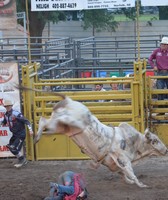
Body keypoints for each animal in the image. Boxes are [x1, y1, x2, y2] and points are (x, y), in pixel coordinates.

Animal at [16, 85, 167, 188]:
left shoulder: (113, 164)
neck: (133, 142)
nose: (166, 150)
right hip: (67, 121)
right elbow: (131, 172)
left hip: (61, 127)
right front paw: (141, 185)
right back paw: (36, 137)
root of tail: (68, 99)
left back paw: (36, 137)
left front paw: (129, 181)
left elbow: (123, 174)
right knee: (43, 121)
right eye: (155, 140)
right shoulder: (123, 159)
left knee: (45, 121)